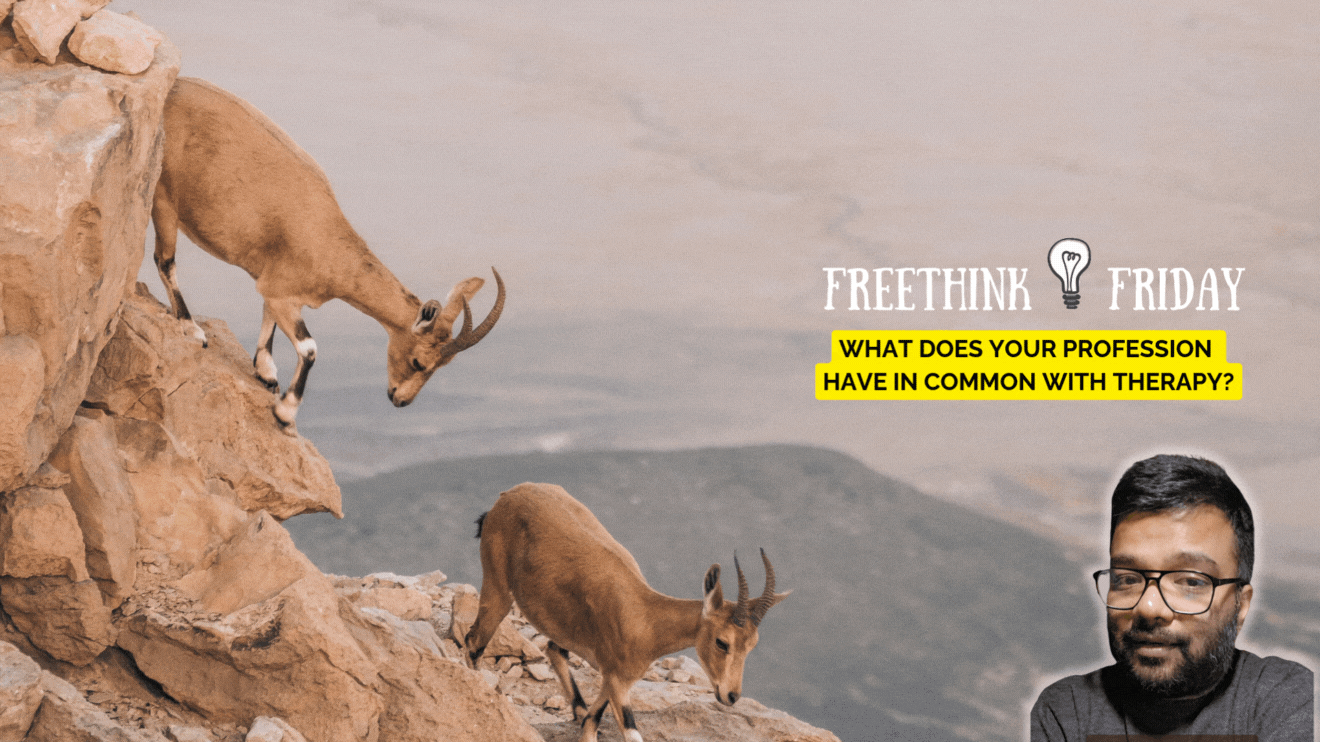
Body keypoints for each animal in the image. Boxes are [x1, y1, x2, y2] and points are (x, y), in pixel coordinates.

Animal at [152, 77, 504, 426]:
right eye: (419, 362)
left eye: (442, 366)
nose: (400, 400)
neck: (328, 245)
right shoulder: (282, 289)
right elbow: (309, 348)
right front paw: (284, 411)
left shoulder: (275, 286)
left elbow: (268, 316)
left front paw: (266, 373)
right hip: (163, 201)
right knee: (164, 260)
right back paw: (191, 328)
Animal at [464, 483, 789, 742]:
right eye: (722, 641)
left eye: (752, 644)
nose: (731, 696)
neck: (646, 620)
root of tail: (505, 498)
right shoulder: (618, 683)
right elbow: (629, 733)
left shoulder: (612, 678)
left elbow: (590, 723)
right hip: (497, 591)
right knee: (473, 643)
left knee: (554, 649)